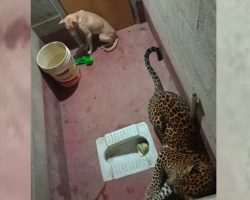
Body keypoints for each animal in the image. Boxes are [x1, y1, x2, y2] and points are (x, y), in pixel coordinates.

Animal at [144, 46, 216, 199]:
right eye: (181, 175)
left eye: (178, 187)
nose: (169, 182)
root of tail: (160, 91)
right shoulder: (164, 153)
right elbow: (156, 176)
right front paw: (151, 190)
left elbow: (161, 194)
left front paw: (153, 195)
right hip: (157, 119)